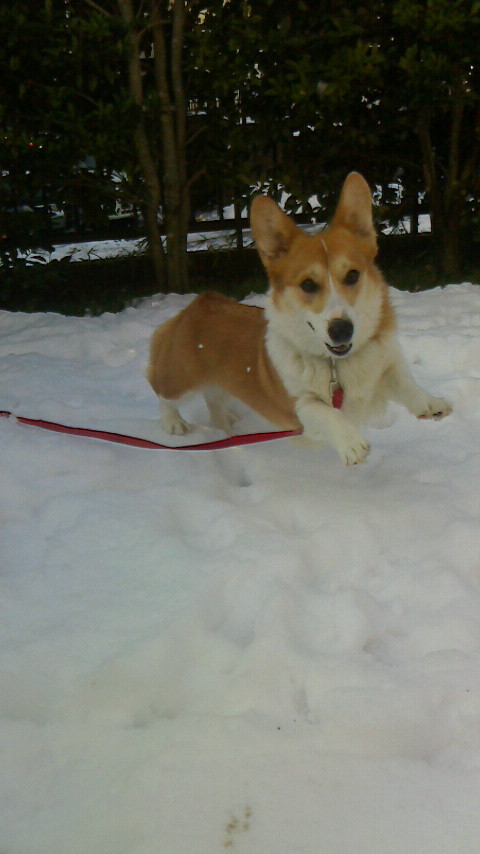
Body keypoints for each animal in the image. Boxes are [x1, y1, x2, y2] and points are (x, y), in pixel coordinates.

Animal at [147, 173, 451, 464]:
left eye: (352, 275)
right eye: (307, 284)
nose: (342, 330)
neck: (336, 366)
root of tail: (197, 304)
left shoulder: (385, 364)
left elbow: (406, 383)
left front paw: (431, 404)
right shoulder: (299, 408)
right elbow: (327, 413)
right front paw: (352, 444)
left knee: (213, 399)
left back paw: (227, 426)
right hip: (181, 379)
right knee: (161, 390)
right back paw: (173, 423)